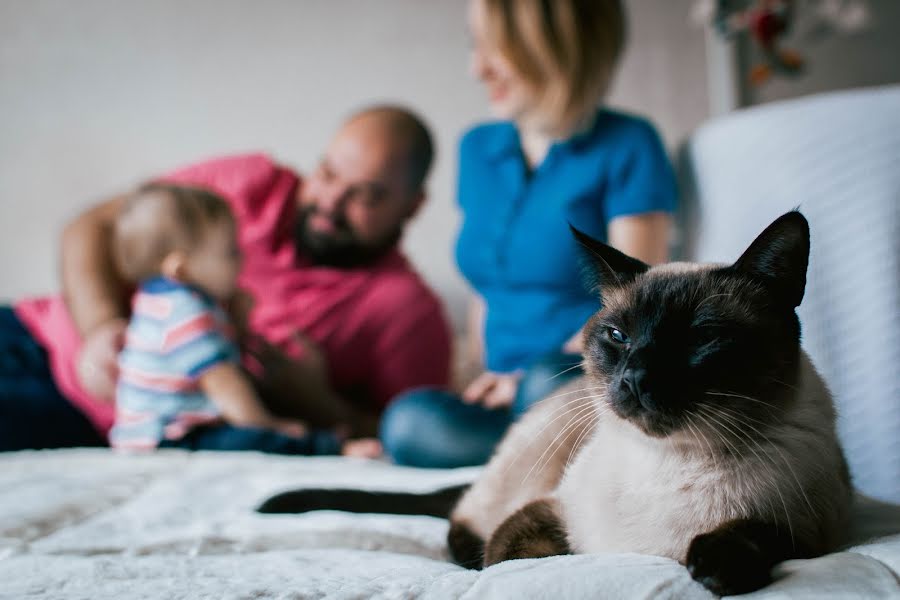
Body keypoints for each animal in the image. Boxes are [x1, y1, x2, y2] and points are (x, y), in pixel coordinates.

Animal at [258, 211, 852, 596]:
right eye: (617, 336)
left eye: (700, 340)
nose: (635, 377)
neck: (675, 463)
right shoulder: (548, 511)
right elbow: (521, 559)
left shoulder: (809, 532)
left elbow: (757, 534)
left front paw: (713, 570)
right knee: (461, 518)